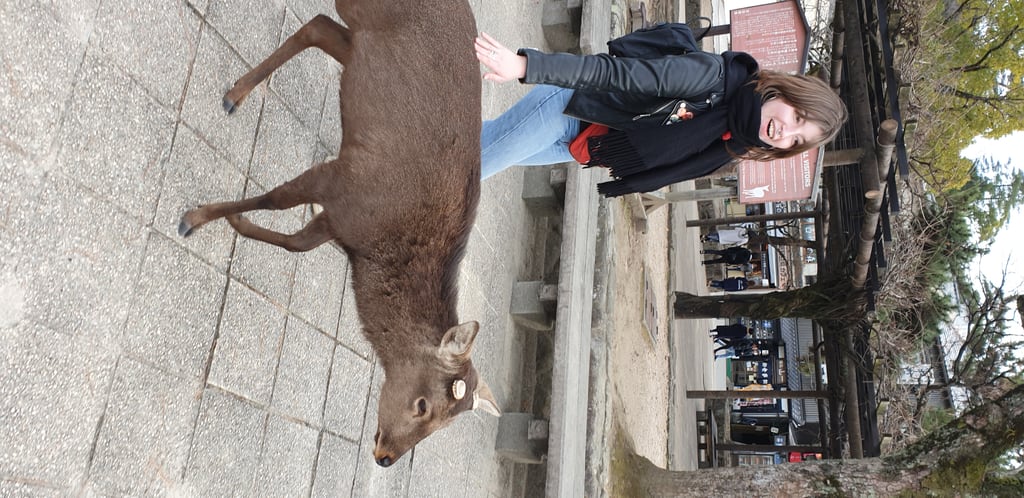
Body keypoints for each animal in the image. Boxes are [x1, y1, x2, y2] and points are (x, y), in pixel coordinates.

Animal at [178, 0, 500, 467]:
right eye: (423, 405)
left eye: (443, 426)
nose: (385, 457)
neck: (372, 250)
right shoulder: (339, 182)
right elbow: (274, 199)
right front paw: (195, 217)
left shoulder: (339, 217)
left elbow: (295, 243)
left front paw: (235, 225)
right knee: (319, 22)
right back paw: (236, 93)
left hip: (360, 43)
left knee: (319, 27)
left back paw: (237, 93)